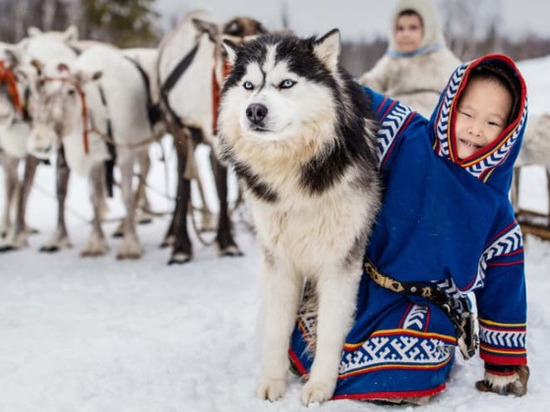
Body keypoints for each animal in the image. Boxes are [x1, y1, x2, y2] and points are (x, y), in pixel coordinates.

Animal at [218, 30, 382, 404]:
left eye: (286, 83)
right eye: (249, 85)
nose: (254, 110)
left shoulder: (340, 260)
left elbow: (331, 331)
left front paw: (320, 386)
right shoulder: (279, 260)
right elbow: (277, 327)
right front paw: (272, 381)